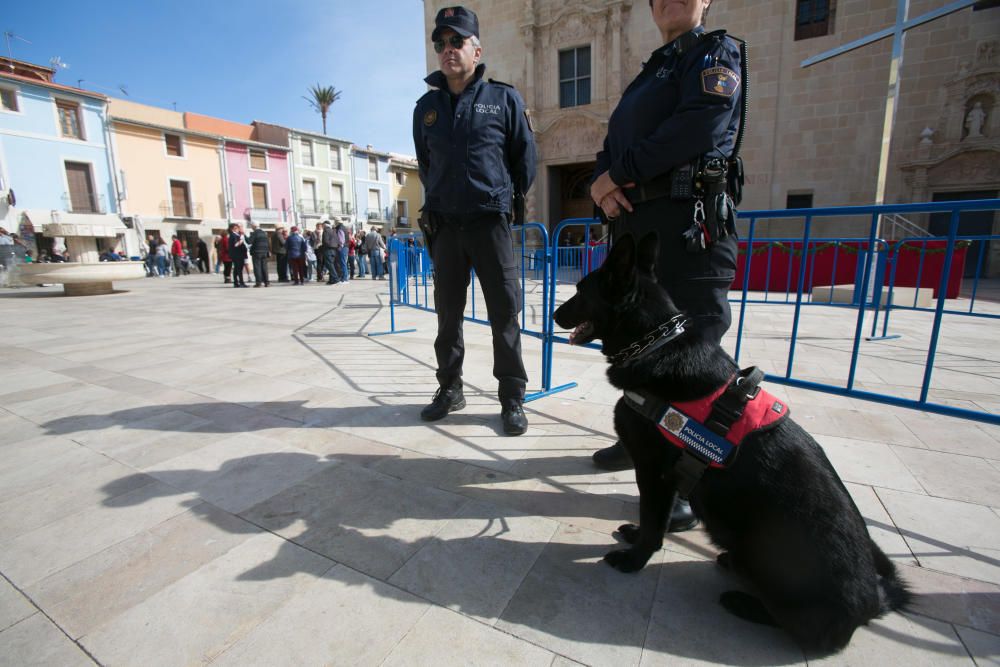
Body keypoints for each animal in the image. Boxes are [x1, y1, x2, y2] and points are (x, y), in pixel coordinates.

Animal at [552, 234, 912, 652]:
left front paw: (636, 558)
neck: (655, 344)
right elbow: (653, 519)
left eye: (580, 290)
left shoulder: (655, 473)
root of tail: (873, 602)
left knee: (803, 630)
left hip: (770, 554)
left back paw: (743, 601)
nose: (554, 315)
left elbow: (654, 520)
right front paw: (637, 539)